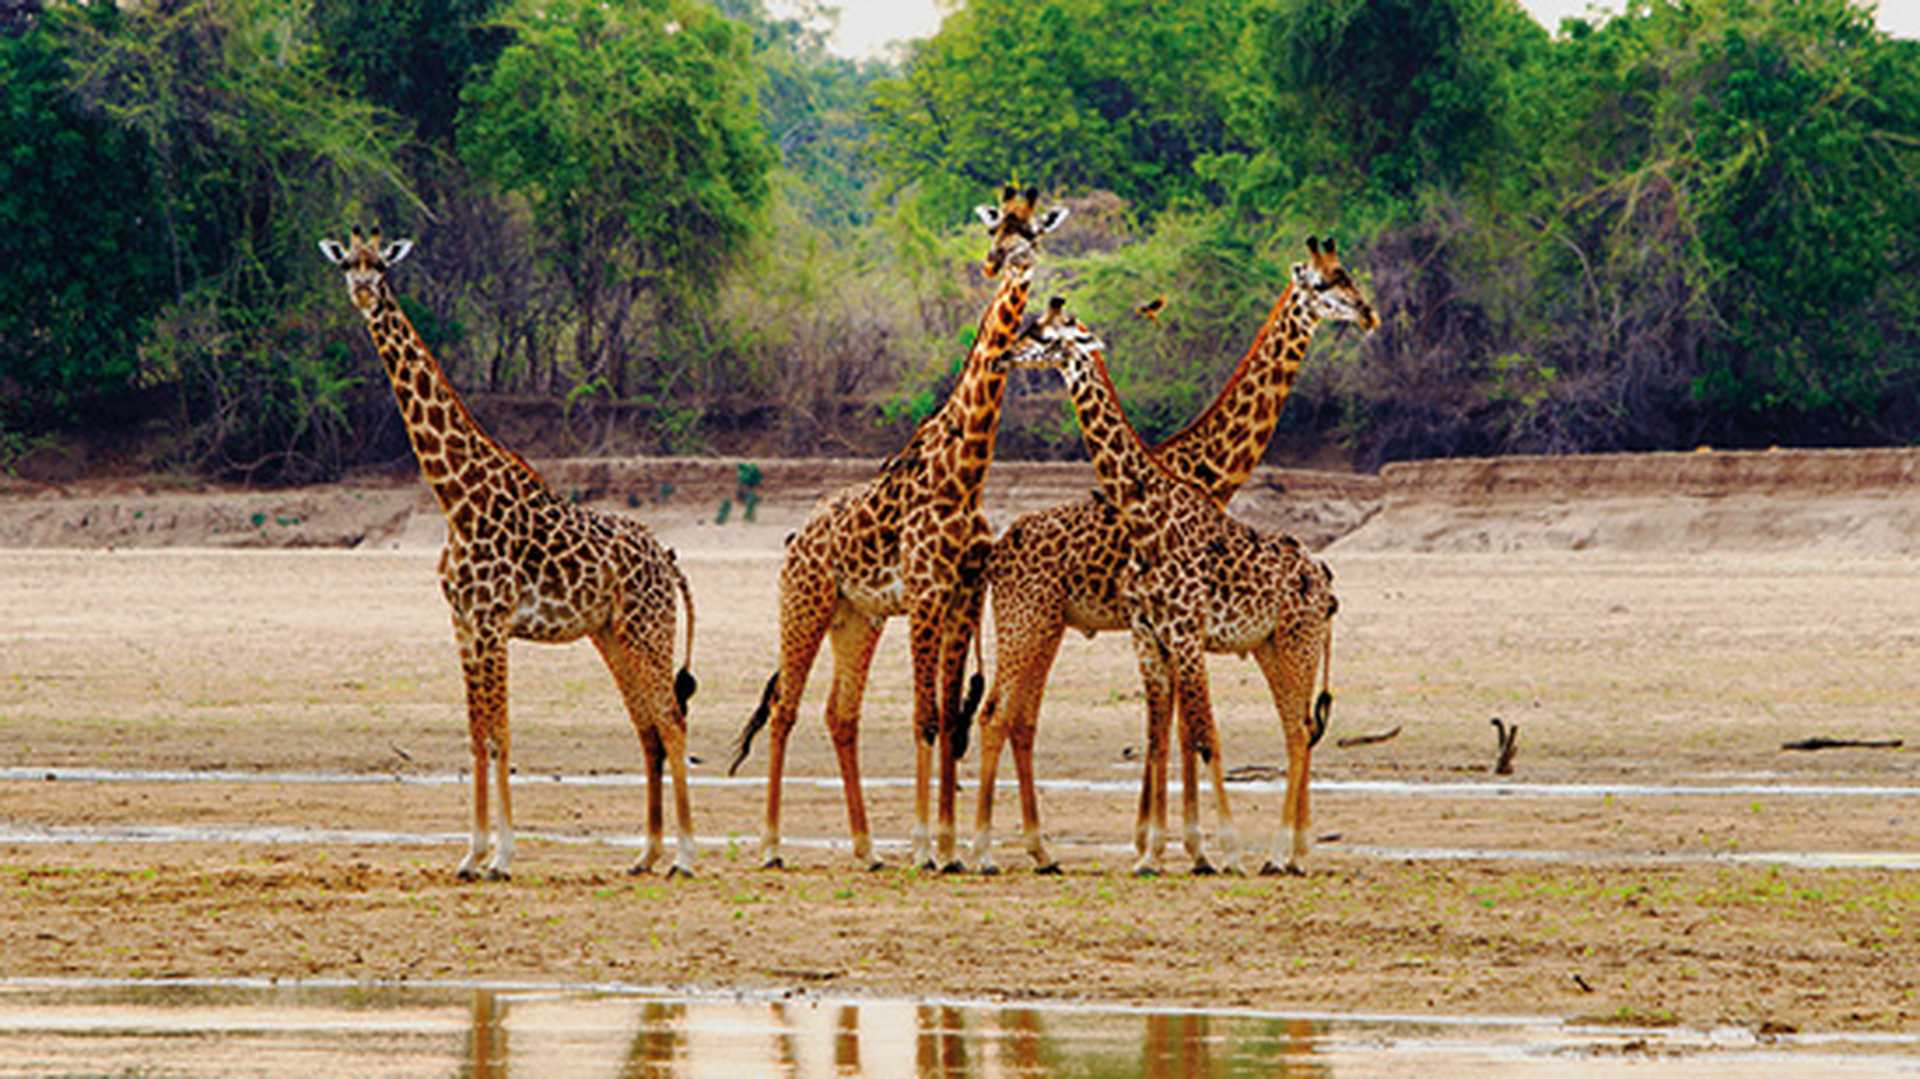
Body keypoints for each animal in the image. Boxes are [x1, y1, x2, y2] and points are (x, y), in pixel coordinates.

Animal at [319, 227, 699, 880]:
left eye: (383, 267)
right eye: (346, 264)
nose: (364, 293)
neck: (455, 498)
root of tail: (667, 558)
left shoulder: (494, 622)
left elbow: (502, 735)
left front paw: (502, 855)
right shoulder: (463, 623)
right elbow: (477, 734)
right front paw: (471, 854)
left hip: (650, 629)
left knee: (671, 721)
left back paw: (686, 856)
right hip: (613, 635)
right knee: (648, 727)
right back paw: (646, 854)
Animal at [725, 185, 1069, 871]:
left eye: (1033, 233)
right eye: (997, 227)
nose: (1000, 264)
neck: (966, 473)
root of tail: (794, 538)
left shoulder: (964, 597)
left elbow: (949, 715)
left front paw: (948, 846)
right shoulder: (928, 596)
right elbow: (926, 717)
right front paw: (925, 847)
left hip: (857, 618)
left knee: (840, 714)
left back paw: (864, 848)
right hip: (803, 604)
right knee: (784, 708)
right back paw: (772, 845)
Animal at [971, 239, 1375, 874]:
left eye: (1344, 277)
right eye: (1326, 283)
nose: (1368, 313)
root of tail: (994, 552)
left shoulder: (1176, 632)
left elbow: (1180, 733)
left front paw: (1177, 845)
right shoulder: (1157, 629)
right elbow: (1178, 732)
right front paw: (1174, 846)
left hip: (1052, 626)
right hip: (1029, 621)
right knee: (999, 714)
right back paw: (981, 850)